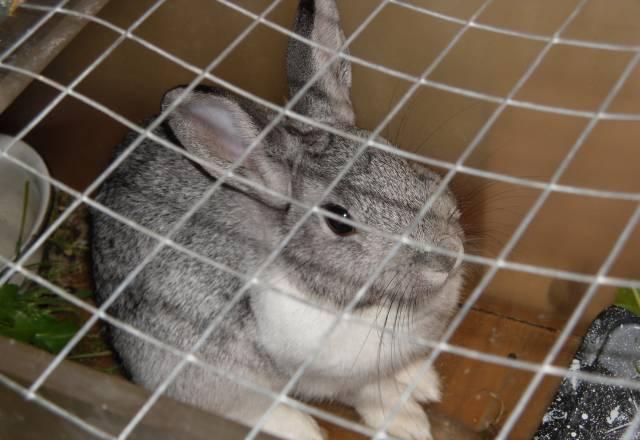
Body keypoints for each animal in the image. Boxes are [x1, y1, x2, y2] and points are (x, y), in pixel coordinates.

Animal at [91, 1, 465, 439]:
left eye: (395, 154)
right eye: (339, 221)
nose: (448, 255)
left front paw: (423, 383)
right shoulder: (336, 379)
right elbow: (372, 395)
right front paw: (409, 424)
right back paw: (301, 427)